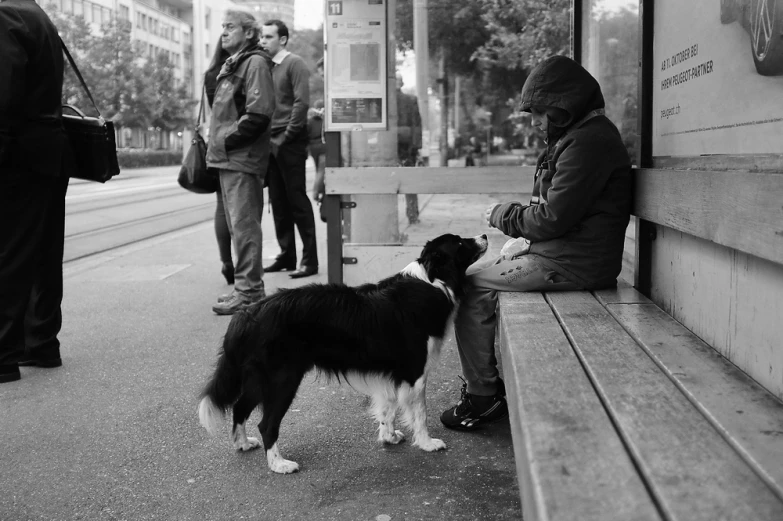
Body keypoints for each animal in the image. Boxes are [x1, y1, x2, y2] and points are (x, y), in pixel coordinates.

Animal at [199, 232, 486, 472]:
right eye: (460, 243)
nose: (484, 235)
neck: (434, 280)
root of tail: (247, 314)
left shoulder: (391, 372)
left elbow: (388, 408)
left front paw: (389, 436)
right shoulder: (415, 372)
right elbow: (420, 413)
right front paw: (427, 443)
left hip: (259, 378)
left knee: (240, 407)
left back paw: (243, 443)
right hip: (282, 379)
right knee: (266, 423)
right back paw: (279, 464)